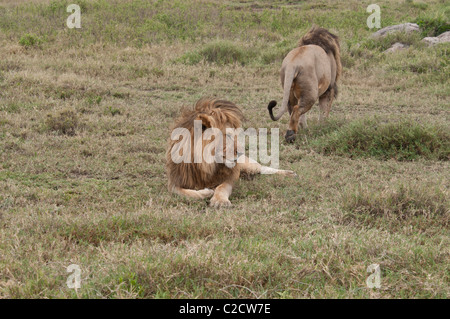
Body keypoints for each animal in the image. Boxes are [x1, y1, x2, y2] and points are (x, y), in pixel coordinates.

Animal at [165, 97, 296, 209]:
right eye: (227, 135)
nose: (241, 152)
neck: (207, 165)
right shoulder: (175, 181)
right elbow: (184, 192)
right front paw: (207, 192)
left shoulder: (230, 176)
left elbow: (222, 187)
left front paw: (219, 201)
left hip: (248, 165)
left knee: (262, 168)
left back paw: (289, 173)